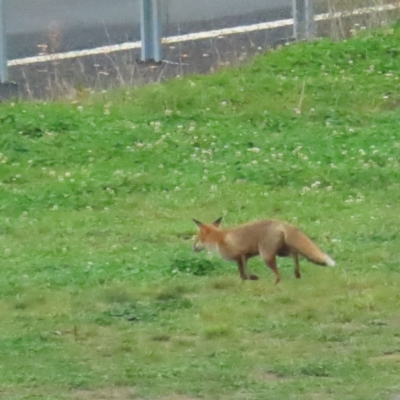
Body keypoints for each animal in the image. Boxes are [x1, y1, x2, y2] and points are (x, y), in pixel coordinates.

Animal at [194, 217, 334, 282]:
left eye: (196, 238)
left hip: (266, 256)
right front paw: (252, 277)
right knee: (295, 254)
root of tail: (279, 222)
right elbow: (246, 272)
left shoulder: (239, 256)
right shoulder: (245, 257)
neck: (219, 238)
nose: (193, 248)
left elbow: (242, 274)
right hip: (281, 252)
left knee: (279, 275)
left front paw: (250, 278)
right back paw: (297, 273)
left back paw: (275, 284)